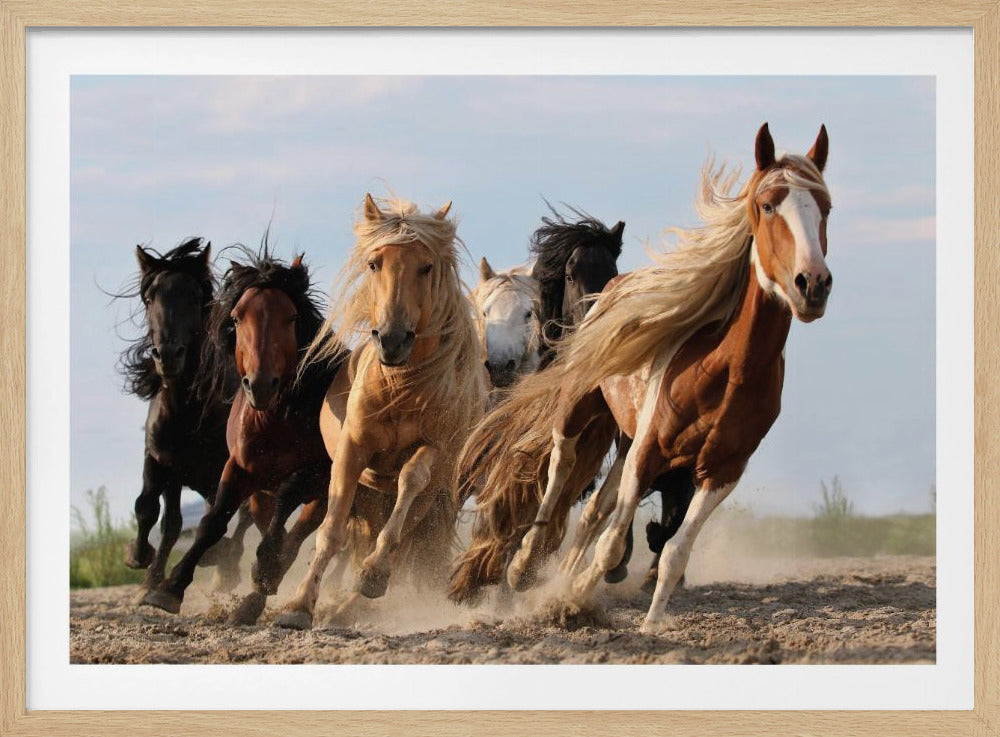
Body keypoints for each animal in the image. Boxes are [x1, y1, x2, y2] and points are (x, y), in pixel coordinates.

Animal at [117, 238, 250, 600]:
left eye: (194, 298)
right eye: (150, 298)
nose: (167, 356)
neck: (187, 413)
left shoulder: (223, 469)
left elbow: (219, 517)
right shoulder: (162, 460)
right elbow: (151, 509)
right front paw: (143, 565)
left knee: (243, 518)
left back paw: (224, 568)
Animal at [142, 245, 345, 624]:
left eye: (291, 318)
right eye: (237, 319)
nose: (260, 385)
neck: (277, 418)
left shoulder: (318, 473)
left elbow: (287, 500)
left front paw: (264, 568)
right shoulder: (239, 467)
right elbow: (213, 521)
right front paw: (169, 588)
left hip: (325, 493)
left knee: (296, 535)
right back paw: (252, 599)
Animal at [275, 195, 488, 630]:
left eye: (426, 267)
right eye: (375, 264)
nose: (392, 339)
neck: (400, 388)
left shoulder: (433, 449)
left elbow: (410, 481)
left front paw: (373, 574)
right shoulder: (352, 451)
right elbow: (331, 531)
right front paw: (298, 605)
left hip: (428, 502)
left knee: (402, 540)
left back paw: (353, 601)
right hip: (372, 497)